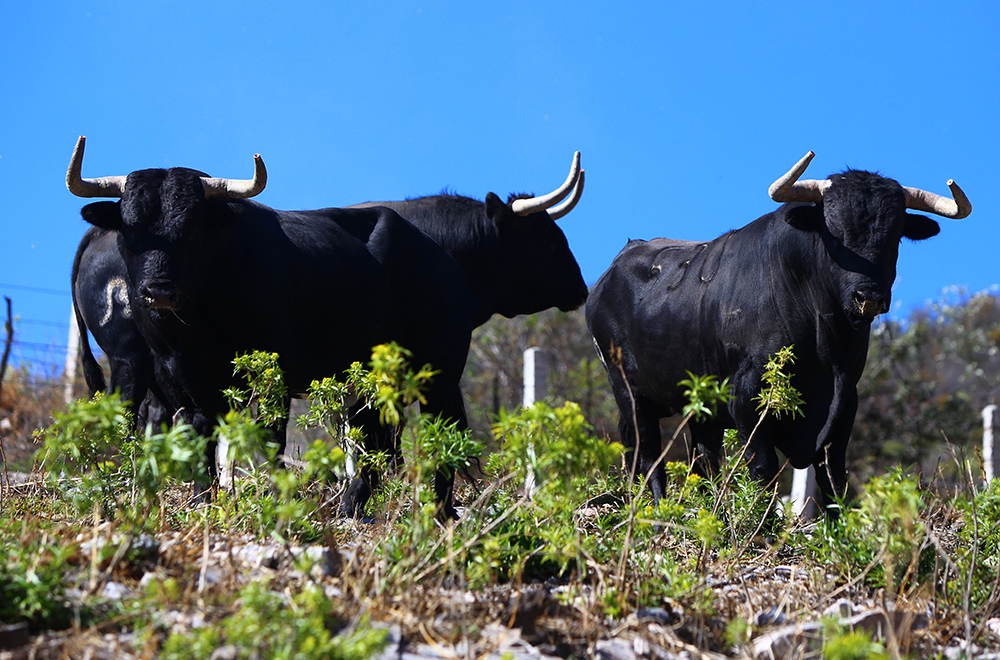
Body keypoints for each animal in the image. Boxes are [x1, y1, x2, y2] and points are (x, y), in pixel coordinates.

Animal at [66, 136, 474, 518]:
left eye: (193, 229)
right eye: (130, 230)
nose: (160, 291)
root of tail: (440, 258)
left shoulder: (271, 374)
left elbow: (269, 438)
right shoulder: (177, 380)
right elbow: (199, 438)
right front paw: (202, 501)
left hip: (440, 373)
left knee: (444, 430)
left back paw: (440, 511)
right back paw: (353, 508)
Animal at [585, 151, 971, 515]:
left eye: (894, 238)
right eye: (835, 232)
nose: (869, 297)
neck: (827, 348)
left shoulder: (844, 405)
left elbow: (834, 478)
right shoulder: (746, 399)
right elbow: (763, 471)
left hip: (700, 403)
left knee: (703, 460)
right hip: (630, 394)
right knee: (650, 457)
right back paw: (657, 511)